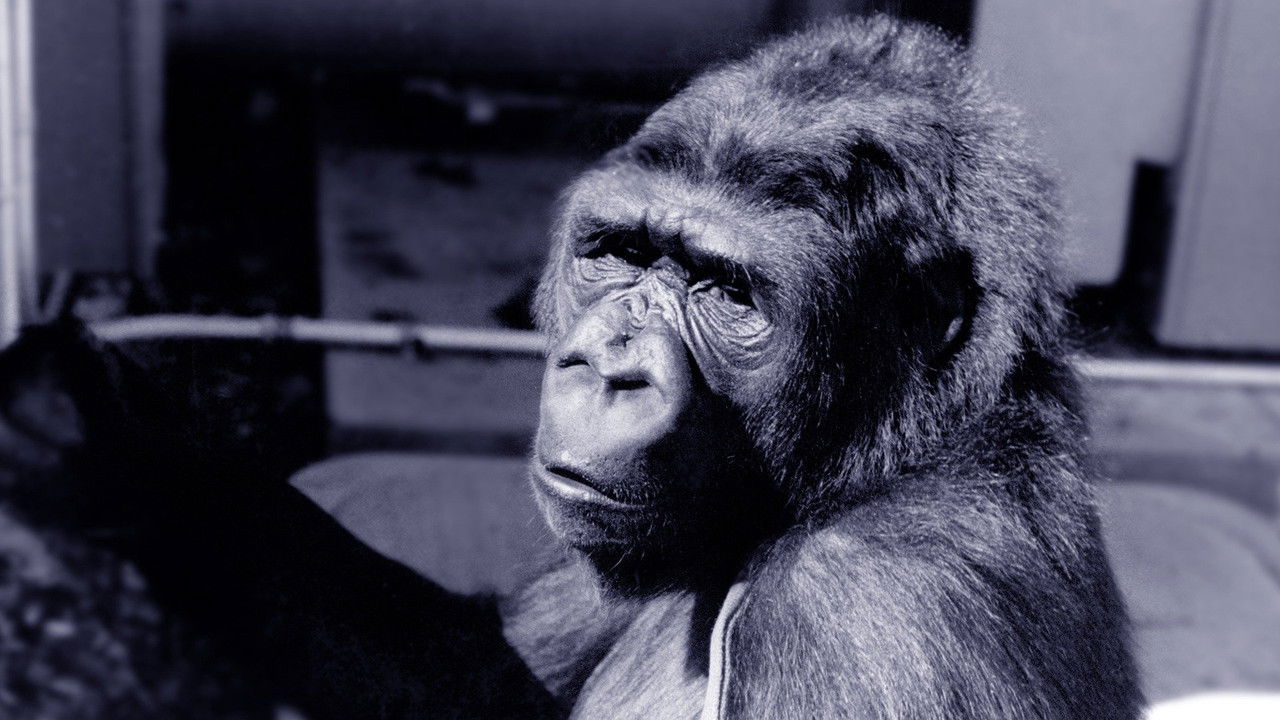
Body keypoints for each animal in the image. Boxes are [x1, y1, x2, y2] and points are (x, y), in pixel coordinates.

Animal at [0, 15, 1141, 719]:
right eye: (621, 253)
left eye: (727, 293)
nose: (607, 366)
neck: (879, 463)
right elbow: (472, 674)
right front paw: (115, 448)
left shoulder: (872, 618)